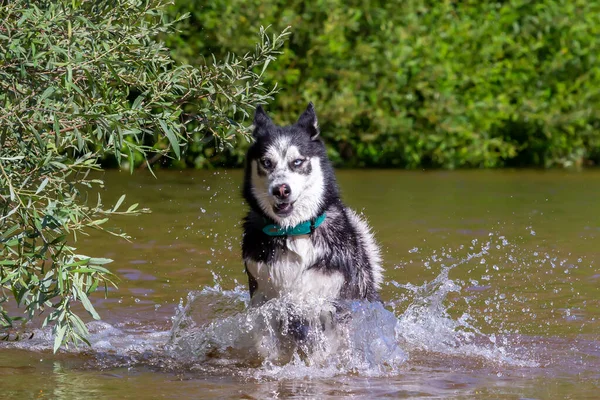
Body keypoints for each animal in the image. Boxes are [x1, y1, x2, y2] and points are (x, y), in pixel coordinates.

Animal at [241, 103, 382, 340]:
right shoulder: (262, 299)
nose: (281, 190)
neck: (292, 232)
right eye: (266, 163)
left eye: (297, 162)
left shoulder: (330, 305)